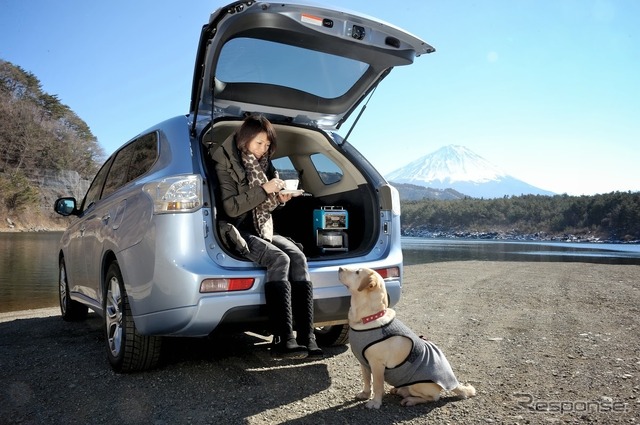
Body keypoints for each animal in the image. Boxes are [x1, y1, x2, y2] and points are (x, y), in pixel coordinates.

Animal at [340, 264, 476, 408]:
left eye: (357, 272)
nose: (340, 268)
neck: (369, 317)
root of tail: (453, 382)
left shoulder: (377, 365)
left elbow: (377, 385)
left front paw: (375, 402)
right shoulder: (364, 363)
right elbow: (367, 380)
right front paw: (365, 394)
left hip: (418, 386)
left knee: (433, 397)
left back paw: (410, 399)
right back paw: (399, 390)